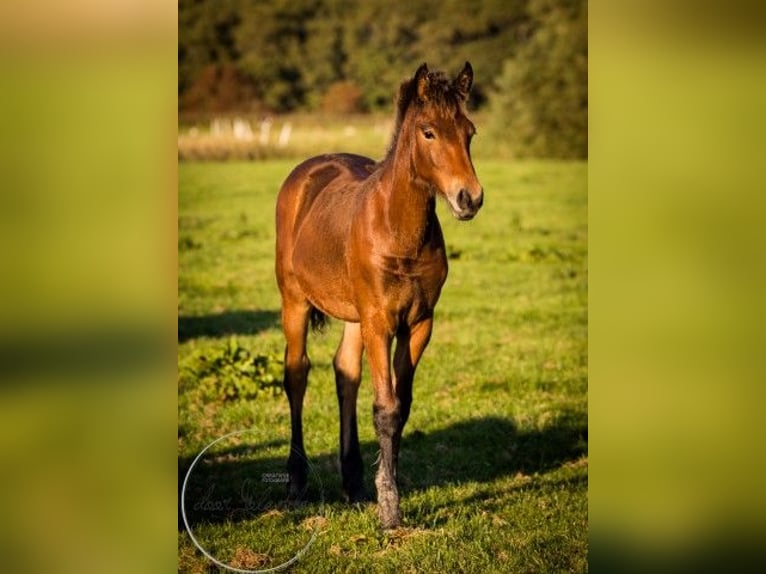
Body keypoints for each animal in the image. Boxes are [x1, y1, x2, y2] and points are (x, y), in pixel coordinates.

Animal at [276, 63, 484, 532]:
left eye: (470, 131)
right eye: (428, 132)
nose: (470, 198)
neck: (398, 229)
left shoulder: (419, 323)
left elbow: (400, 408)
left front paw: (381, 490)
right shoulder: (380, 322)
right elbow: (385, 408)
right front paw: (390, 509)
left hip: (355, 317)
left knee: (345, 373)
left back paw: (352, 482)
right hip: (295, 301)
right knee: (297, 373)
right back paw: (296, 481)